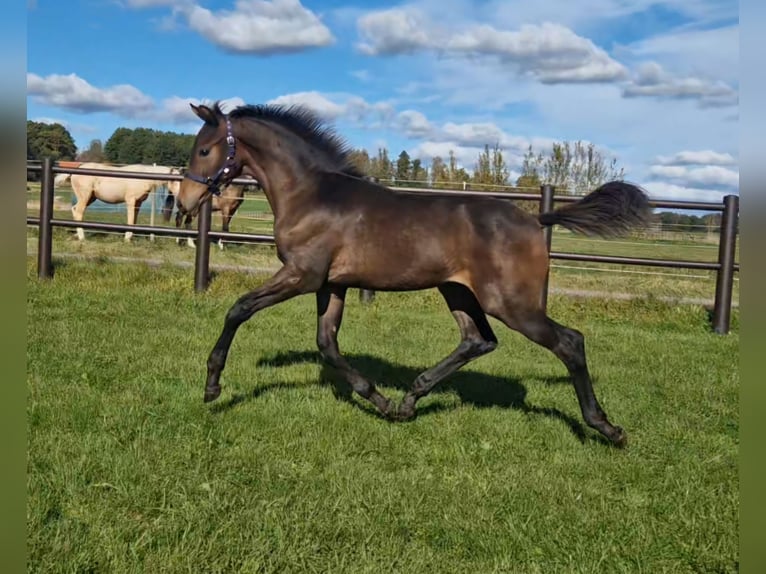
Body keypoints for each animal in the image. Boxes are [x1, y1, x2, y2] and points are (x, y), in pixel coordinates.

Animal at [177, 102, 652, 450]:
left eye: (204, 150)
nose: (185, 202)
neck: (311, 195)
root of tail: (536, 219)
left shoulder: (302, 275)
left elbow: (239, 309)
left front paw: (212, 386)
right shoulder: (331, 284)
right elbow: (327, 344)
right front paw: (380, 401)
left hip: (512, 303)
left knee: (569, 341)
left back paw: (606, 427)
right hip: (457, 292)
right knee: (478, 340)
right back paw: (409, 400)